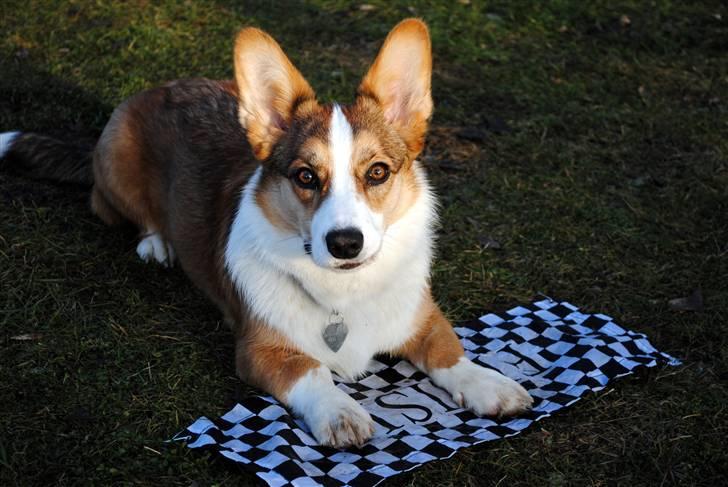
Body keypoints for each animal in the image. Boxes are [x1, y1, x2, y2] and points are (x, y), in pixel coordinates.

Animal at [2, 19, 532, 448]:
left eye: (378, 172)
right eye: (305, 176)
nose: (345, 243)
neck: (344, 292)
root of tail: (156, 89)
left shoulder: (421, 317)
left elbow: (449, 350)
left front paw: (489, 384)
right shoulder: (260, 350)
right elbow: (311, 370)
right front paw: (340, 411)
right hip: (115, 160)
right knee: (114, 206)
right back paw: (156, 242)